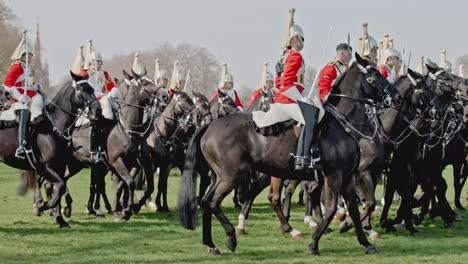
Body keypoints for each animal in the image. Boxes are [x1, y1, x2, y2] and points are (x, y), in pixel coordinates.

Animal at [0, 71, 102, 226]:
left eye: (91, 89)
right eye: (82, 90)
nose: (98, 110)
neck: (54, 126)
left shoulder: (59, 167)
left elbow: (58, 189)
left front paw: (60, 218)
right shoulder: (46, 167)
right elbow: (58, 187)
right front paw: (43, 207)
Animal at [179, 52, 402, 255]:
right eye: (374, 74)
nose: (397, 96)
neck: (342, 123)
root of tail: (209, 126)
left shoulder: (347, 177)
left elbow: (354, 210)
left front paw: (365, 242)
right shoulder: (334, 176)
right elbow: (331, 209)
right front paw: (314, 243)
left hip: (225, 175)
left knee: (208, 201)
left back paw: (212, 244)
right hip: (232, 175)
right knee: (213, 201)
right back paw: (233, 237)